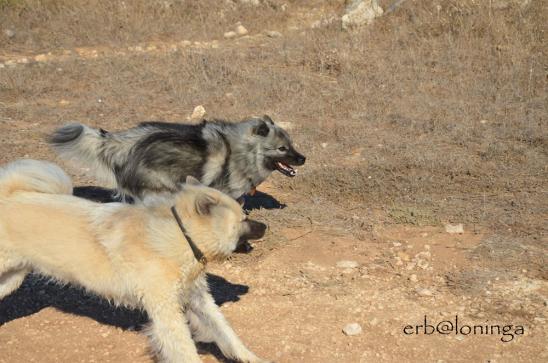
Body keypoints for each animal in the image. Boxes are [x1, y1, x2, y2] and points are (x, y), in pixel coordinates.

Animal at [0, 160, 270, 363]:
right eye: (244, 218)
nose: (266, 226)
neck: (180, 233)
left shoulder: (197, 300)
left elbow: (226, 333)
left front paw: (251, 358)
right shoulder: (166, 312)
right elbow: (185, 349)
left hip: (10, 279)